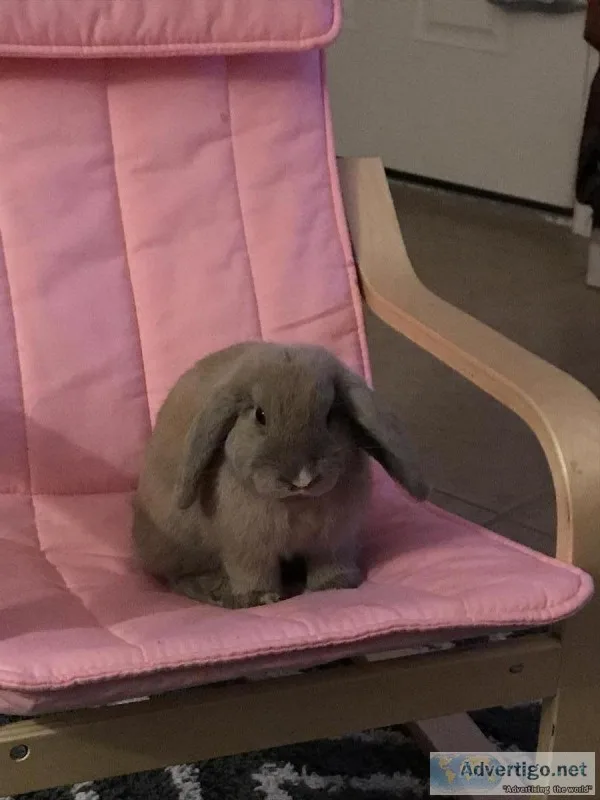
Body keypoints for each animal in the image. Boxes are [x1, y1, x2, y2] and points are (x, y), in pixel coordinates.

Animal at [132, 341, 428, 609]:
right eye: (260, 415)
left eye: (330, 415)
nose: (302, 477)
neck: (296, 502)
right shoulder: (247, 546)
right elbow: (252, 571)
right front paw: (261, 598)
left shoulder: (336, 538)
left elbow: (331, 561)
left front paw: (336, 584)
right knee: (178, 576)